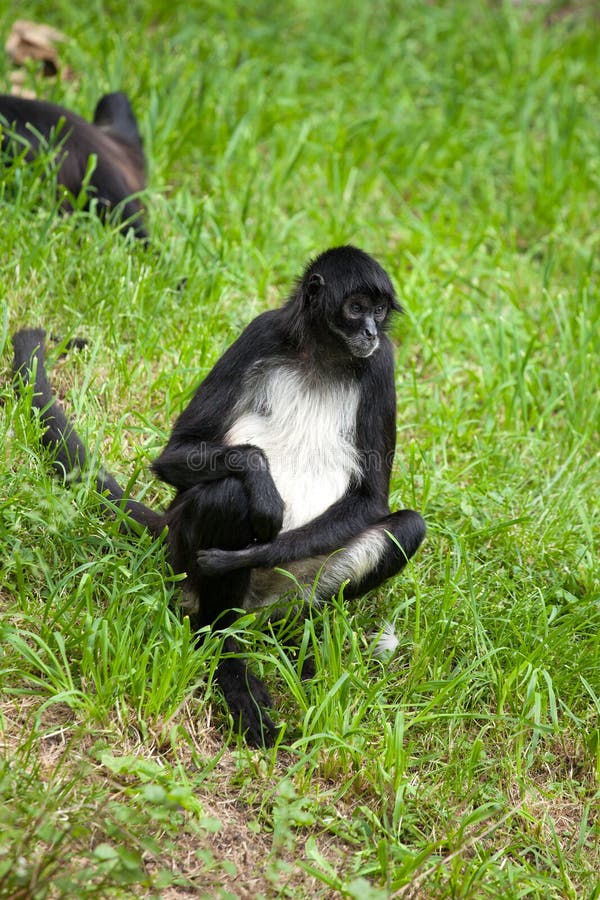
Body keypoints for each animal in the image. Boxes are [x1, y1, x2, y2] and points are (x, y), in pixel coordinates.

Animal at [12, 244, 426, 744]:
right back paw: (227, 659)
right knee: (228, 495)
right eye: (356, 307)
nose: (369, 331)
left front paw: (245, 556)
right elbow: (178, 452)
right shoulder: (261, 332)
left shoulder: (380, 362)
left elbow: (371, 499)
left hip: (297, 585)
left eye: (379, 311)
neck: (324, 358)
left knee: (407, 526)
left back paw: (291, 644)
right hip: (183, 559)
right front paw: (262, 491)